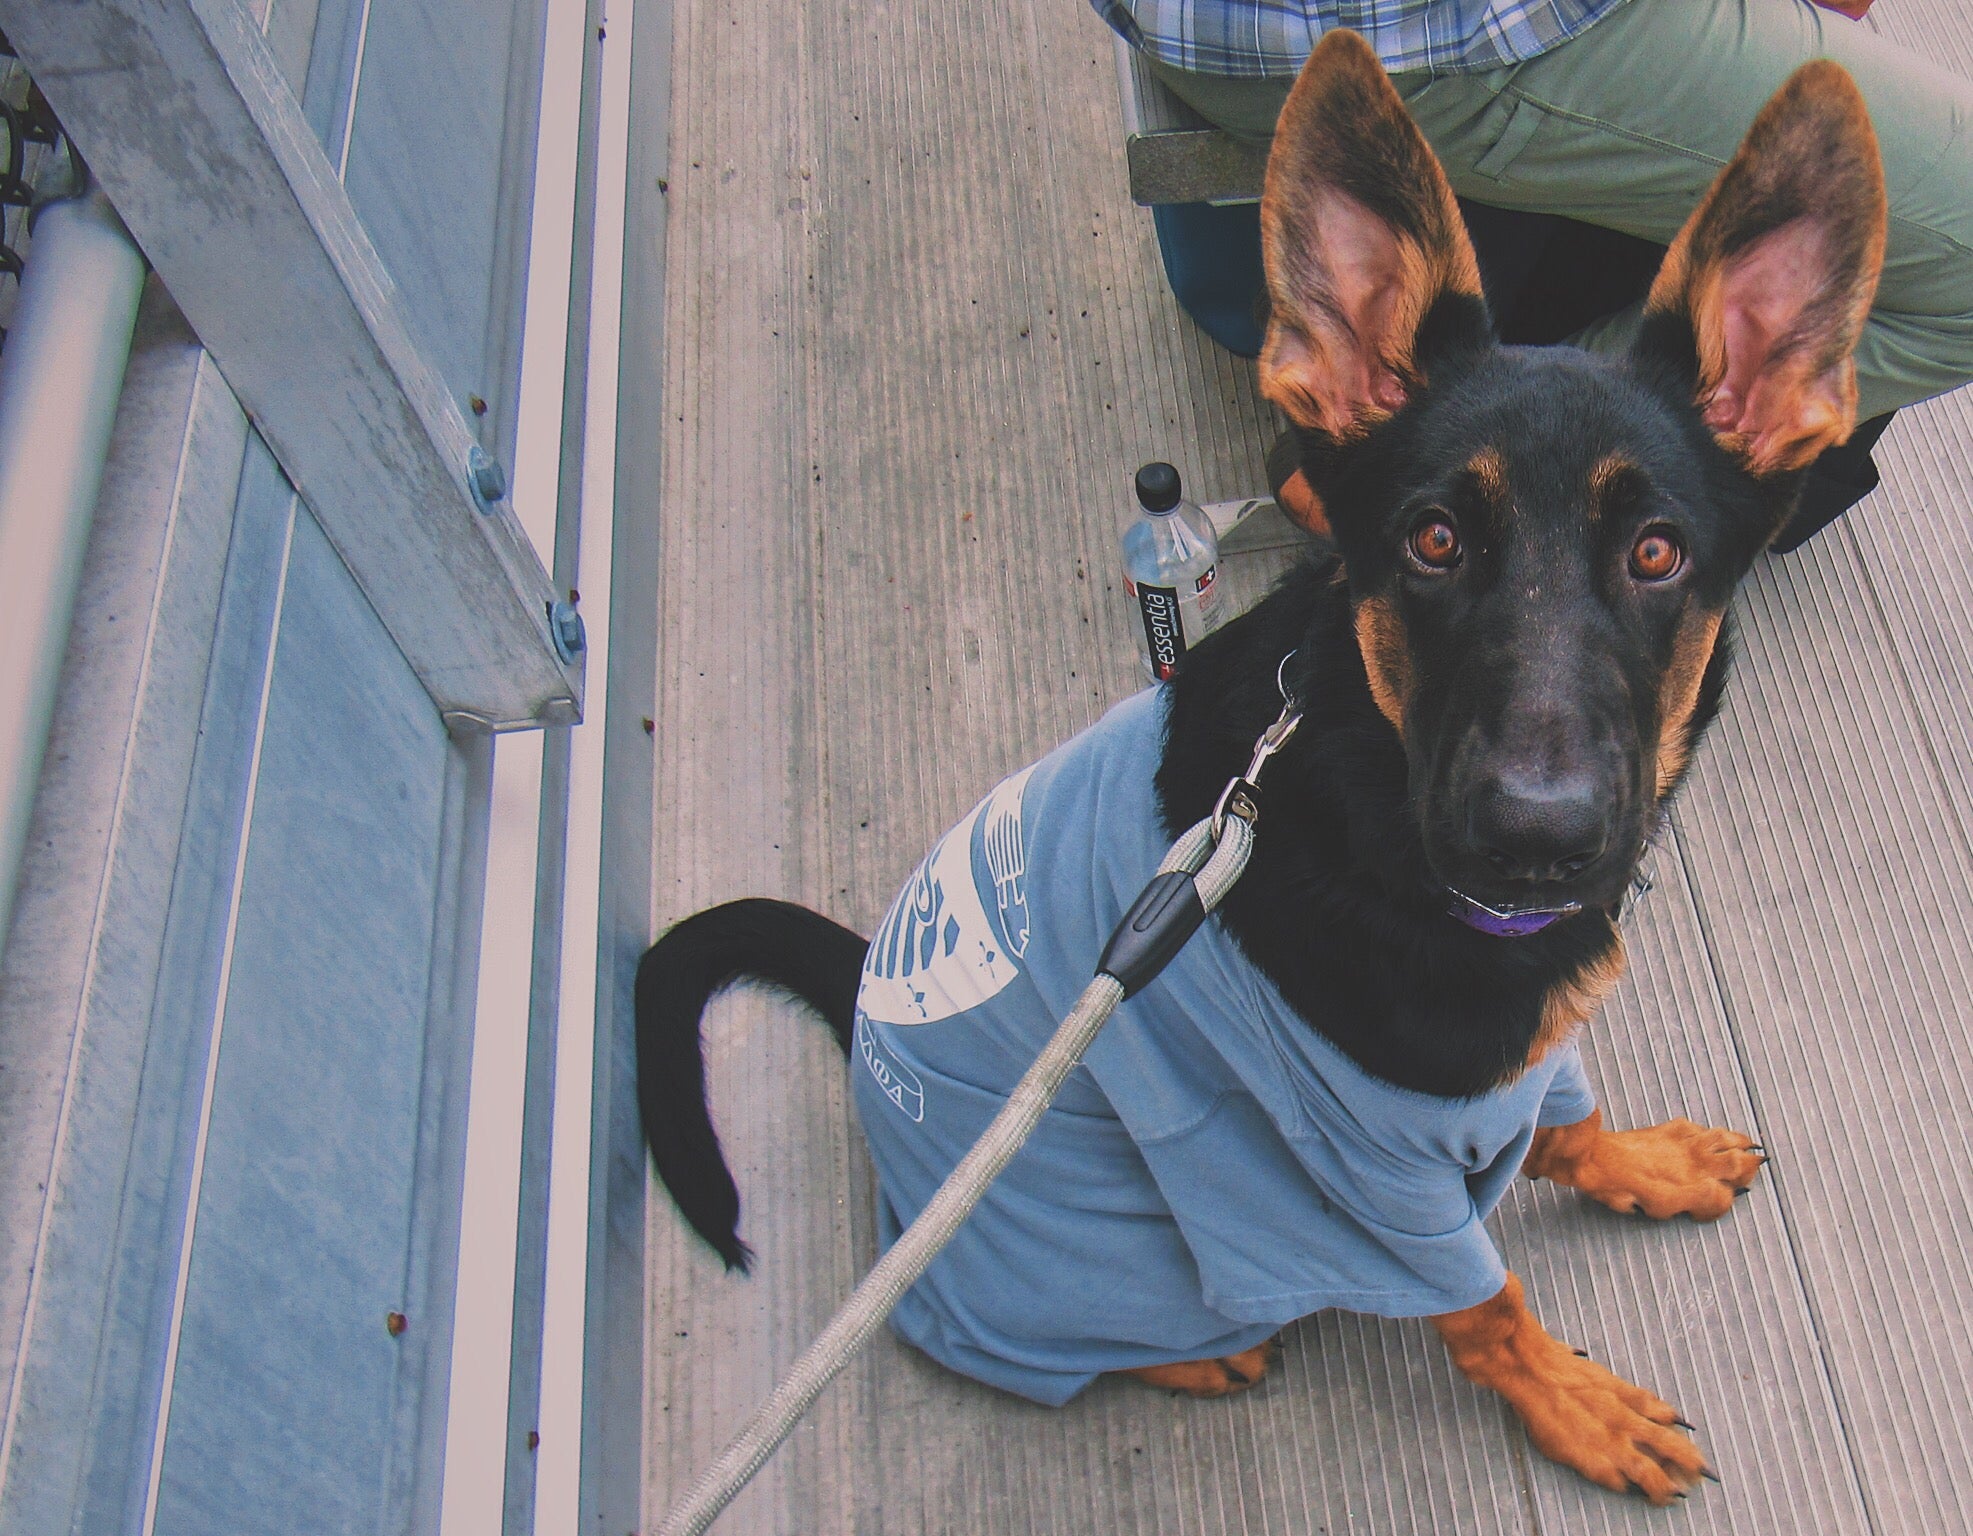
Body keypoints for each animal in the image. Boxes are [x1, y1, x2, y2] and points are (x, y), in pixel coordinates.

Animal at [639, 30, 1886, 1506]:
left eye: (1655, 553)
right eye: (1430, 540)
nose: (1533, 841)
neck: (1370, 794)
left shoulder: (1513, 1068)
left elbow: (1565, 1124)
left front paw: (1638, 1162)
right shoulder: (1365, 1171)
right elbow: (1487, 1303)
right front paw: (1570, 1404)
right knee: (985, 1335)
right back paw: (1189, 1355)